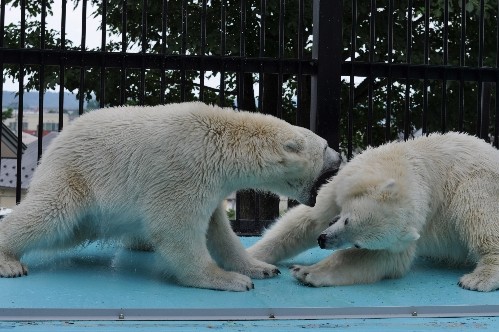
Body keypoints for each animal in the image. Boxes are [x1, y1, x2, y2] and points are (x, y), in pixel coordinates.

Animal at [0, 101, 342, 290]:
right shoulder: (183, 168)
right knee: (50, 214)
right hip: (76, 175)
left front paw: (260, 267)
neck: (223, 141)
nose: (340, 157)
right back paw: (10, 262)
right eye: (325, 145)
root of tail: (56, 143)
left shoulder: (212, 183)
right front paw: (228, 280)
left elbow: (219, 232)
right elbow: (177, 228)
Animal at [250, 132, 499, 290]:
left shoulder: (416, 222)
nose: (323, 241)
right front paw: (254, 258)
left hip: (478, 182)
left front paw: (307, 272)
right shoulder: (344, 183)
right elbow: (309, 220)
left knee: (476, 214)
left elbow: (388, 258)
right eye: (345, 220)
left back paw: (478, 279)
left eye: (359, 244)